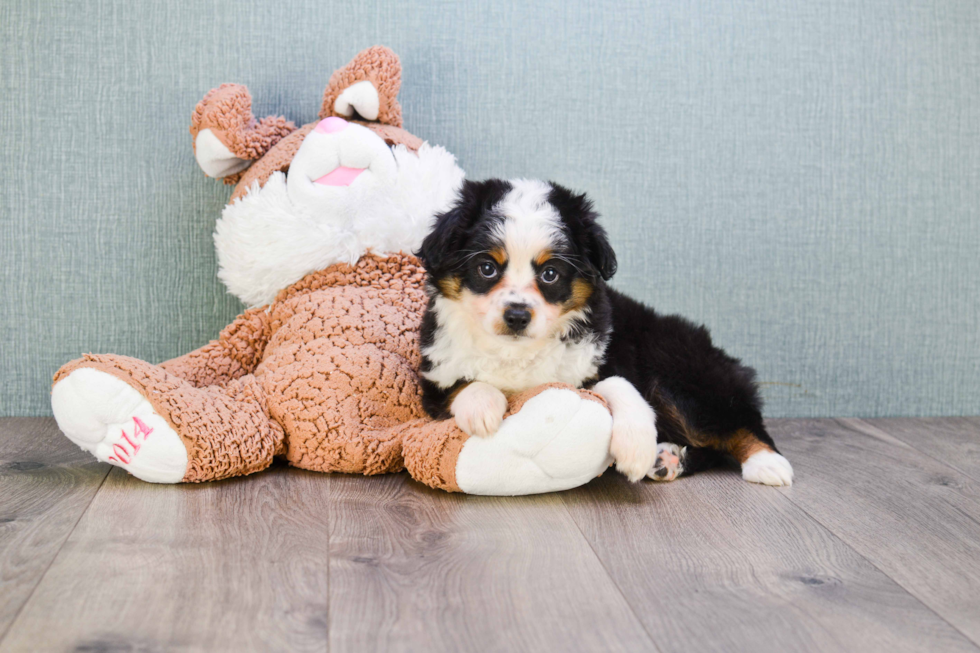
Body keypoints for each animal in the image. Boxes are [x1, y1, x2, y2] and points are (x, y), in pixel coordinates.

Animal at [412, 178, 788, 484]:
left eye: (550, 274)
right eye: (487, 268)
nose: (517, 315)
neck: (518, 351)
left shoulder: (604, 354)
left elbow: (618, 383)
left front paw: (636, 445)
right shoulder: (435, 373)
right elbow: (464, 384)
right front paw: (483, 408)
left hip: (678, 367)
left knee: (738, 422)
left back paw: (767, 462)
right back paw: (668, 459)